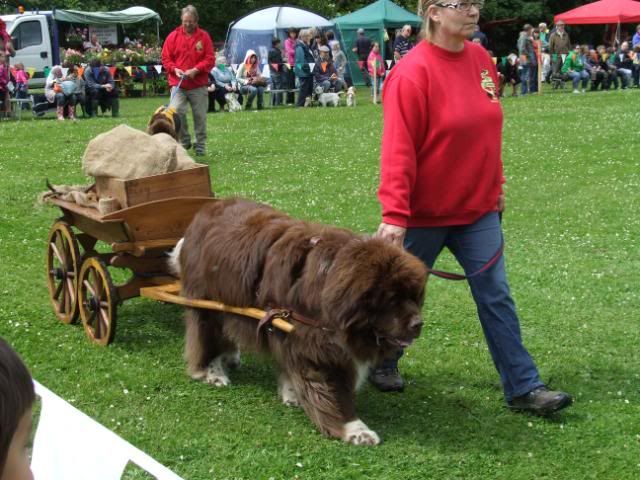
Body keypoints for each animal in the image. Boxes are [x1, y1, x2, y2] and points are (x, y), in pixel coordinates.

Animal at [172, 198, 428, 446]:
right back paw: (213, 373)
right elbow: (334, 394)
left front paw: (291, 393)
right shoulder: (317, 348)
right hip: (207, 304)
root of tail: (204, 210)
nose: (418, 324)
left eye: (414, 296)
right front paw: (355, 430)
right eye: (392, 299)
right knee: (206, 339)